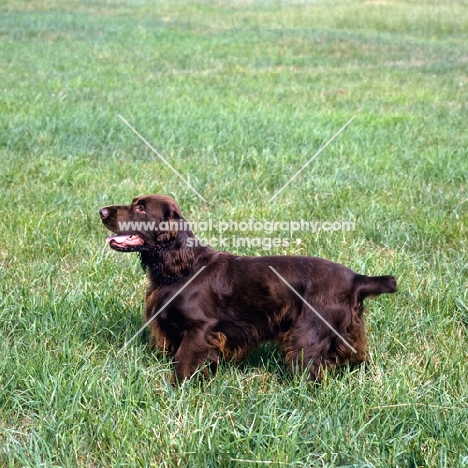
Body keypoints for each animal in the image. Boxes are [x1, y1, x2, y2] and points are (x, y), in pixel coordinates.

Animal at [100, 195, 396, 384]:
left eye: (141, 208)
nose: (101, 211)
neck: (181, 266)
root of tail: (356, 278)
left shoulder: (201, 328)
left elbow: (183, 364)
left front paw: (175, 390)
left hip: (307, 333)